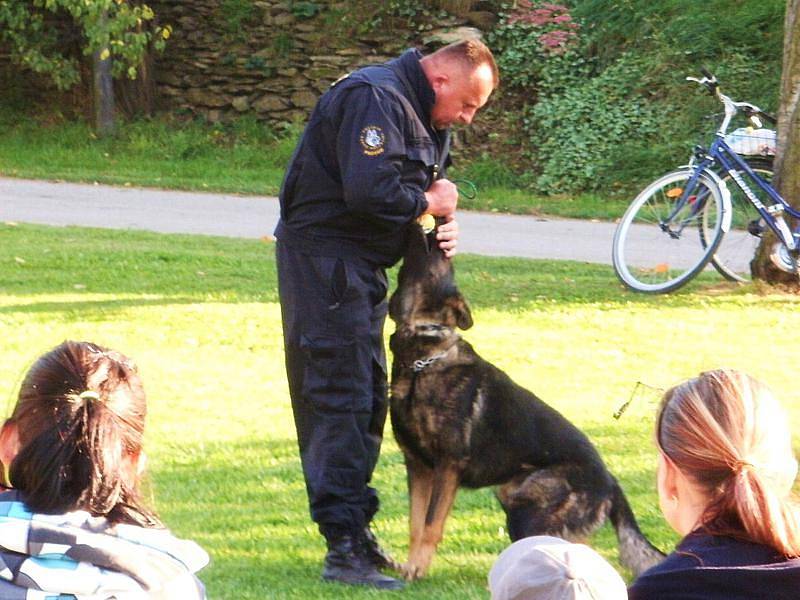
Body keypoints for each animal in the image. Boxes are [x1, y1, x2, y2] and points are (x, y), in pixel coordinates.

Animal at [388, 223, 664, 580]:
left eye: (443, 257)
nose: (436, 227)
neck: (423, 360)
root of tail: (611, 482)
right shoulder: (418, 466)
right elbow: (415, 525)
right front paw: (410, 567)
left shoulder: (447, 466)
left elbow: (431, 525)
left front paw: (418, 570)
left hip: (528, 506)